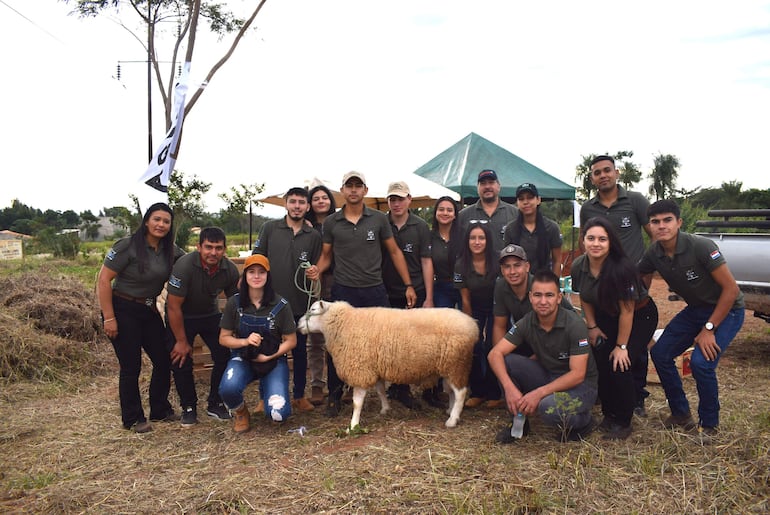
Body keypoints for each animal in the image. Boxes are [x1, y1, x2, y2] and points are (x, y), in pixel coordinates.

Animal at [296, 300, 476, 430]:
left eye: (313, 309)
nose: (298, 325)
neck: (344, 324)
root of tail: (472, 325)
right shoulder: (374, 366)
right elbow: (381, 390)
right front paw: (385, 409)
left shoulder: (361, 369)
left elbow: (357, 402)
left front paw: (353, 425)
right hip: (450, 366)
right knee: (452, 392)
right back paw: (450, 411)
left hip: (456, 364)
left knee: (460, 393)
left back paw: (452, 420)